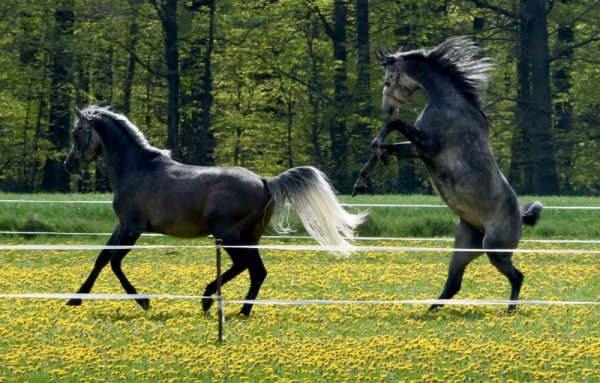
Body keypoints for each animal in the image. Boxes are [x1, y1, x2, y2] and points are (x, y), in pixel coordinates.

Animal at [65, 104, 366, 316]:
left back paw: (209, 298)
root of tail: (264, 181)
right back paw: (241, 310)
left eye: (76, 132)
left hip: (227, 233)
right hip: (249, 237)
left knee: (244, 265)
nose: (69, 164)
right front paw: (75, 298)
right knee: (257, 271)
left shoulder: (132, 227)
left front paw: (144, 301)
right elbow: (101, 259)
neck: (137, 168)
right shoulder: (121, 226)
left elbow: (115, 262)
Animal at [352, 36, 544, 314]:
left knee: (517, 276)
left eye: (388, 80)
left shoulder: (429, 145)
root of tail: (521, 216)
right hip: (464, 245)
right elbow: (389, 146)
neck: (448, 104)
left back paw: (509, 311)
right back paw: (429, 310)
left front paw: (377, 149)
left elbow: (394, 127)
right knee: (454, 283)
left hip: (494, 250)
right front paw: (361, 181)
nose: (387, 108)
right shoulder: (418, 150)